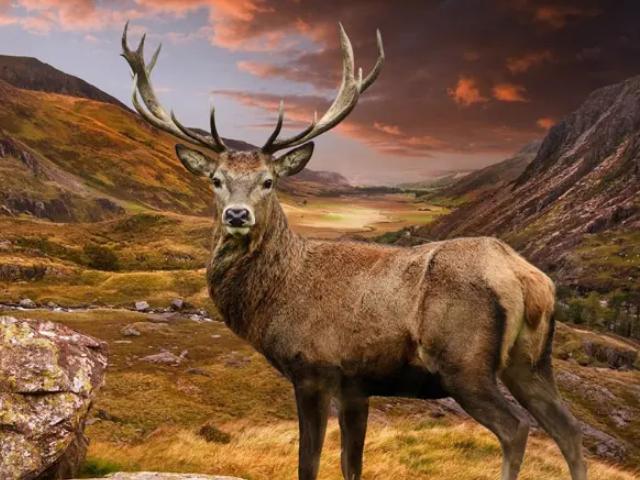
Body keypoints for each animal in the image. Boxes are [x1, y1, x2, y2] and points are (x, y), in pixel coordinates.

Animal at [121, 22, 587, 480]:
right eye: (216, 180)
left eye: (269, 181)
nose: (237, 214)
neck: (276, 298)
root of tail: (527, 278)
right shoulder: (356, 386)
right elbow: (351, 464)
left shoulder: (313, 369)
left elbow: (308, 462)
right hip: (531, 362)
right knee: (568, 429)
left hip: (465, 363)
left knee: (516, 430)